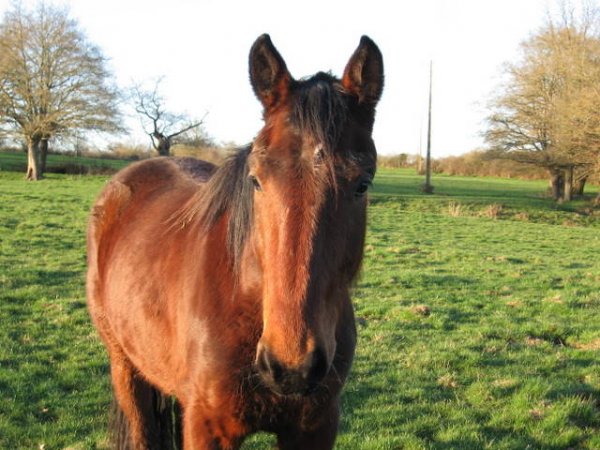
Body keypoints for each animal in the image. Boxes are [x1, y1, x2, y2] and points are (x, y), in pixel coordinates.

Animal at [86, 33, 382, 448]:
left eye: (362, 184)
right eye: (256, 180)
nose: (292, 366)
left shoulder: (315, 427)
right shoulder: (208, 427)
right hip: (126, 368)